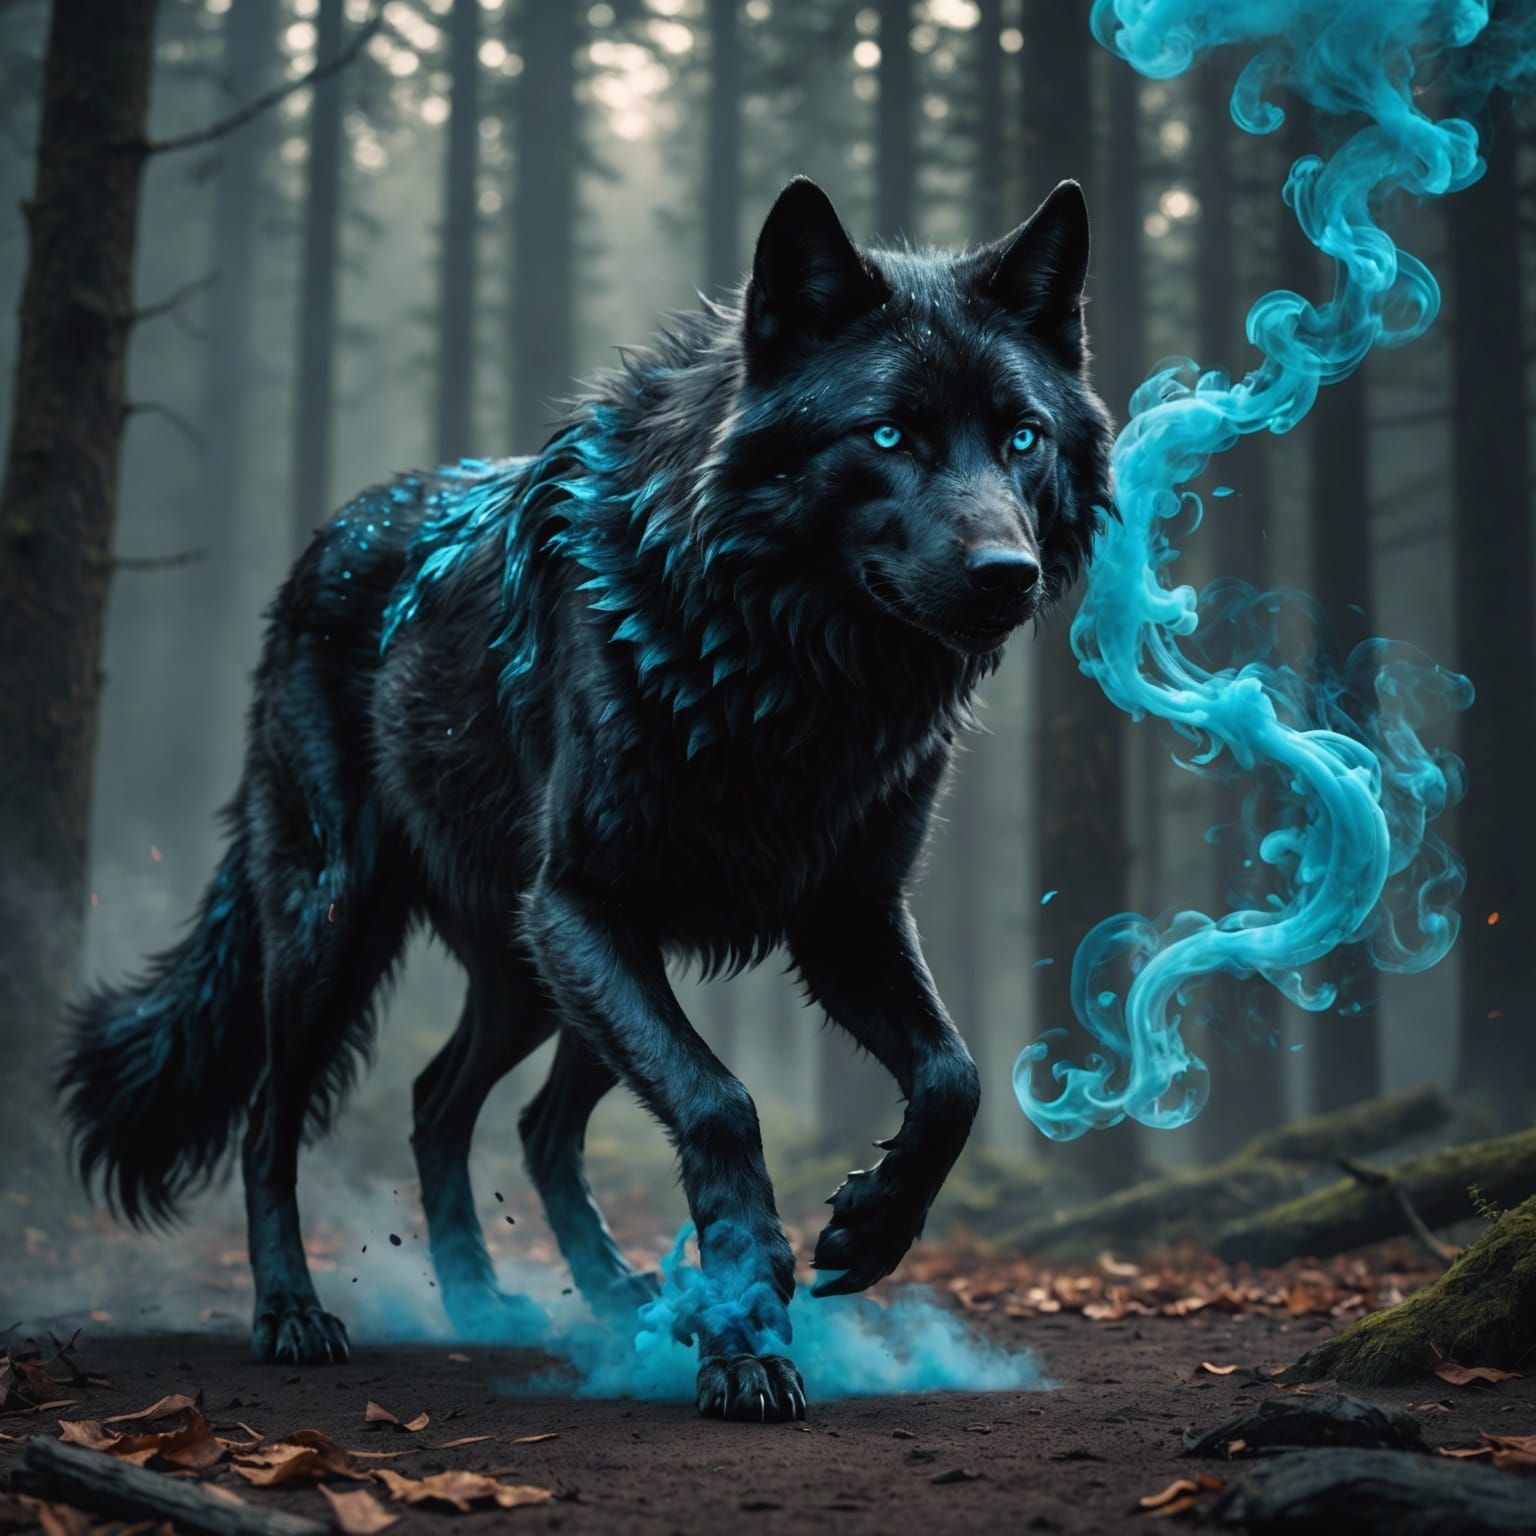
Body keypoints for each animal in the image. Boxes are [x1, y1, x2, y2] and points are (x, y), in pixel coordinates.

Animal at [60, 177, 1112, 1421]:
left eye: (1021, 436)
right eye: (889, 434)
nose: (1009, 576)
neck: (789, 678)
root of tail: (324, 539)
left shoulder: (844, 917)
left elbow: (955, 1080)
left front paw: (867, 1229)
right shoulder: (583, 903)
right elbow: (721, 1106)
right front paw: (747, 1337)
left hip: (538, 979)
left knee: (475, 1108)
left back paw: (541, 1300)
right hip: (355, 932)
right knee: (282, 1116)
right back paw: (295, 1315)